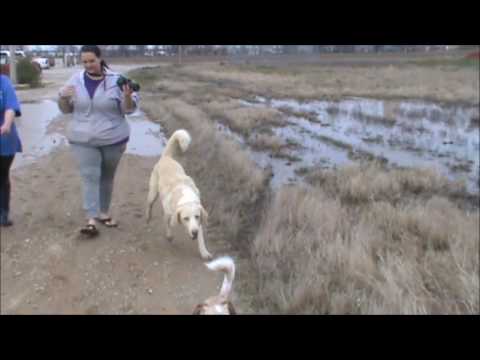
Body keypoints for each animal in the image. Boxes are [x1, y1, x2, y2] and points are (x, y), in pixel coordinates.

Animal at [146, 129, 212, 258]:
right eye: (186, 218)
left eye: (196, 216)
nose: (194, 232)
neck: (185, 197)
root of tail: (166, 158)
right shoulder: (168, 214)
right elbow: (168, 225)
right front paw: (169, 236)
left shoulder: (198, 220)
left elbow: (201, 238)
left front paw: (204, 252)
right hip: (153, 193)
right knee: (149, 204)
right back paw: (148, 216)